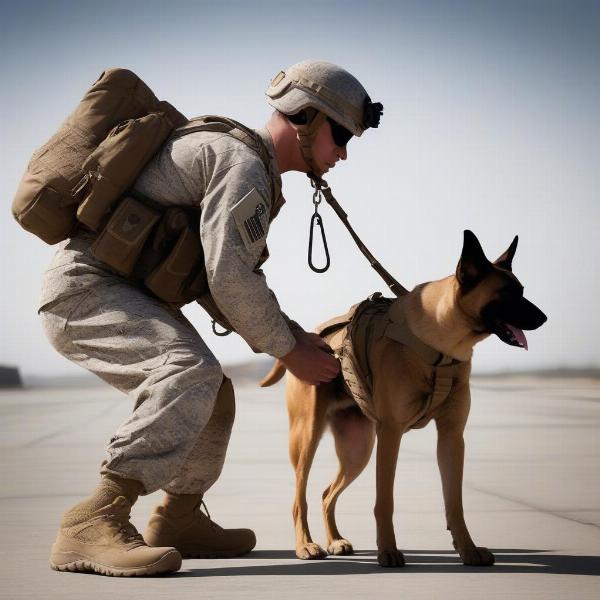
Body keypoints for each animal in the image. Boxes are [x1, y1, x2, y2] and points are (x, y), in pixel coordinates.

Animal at [260, 230, 548, 568]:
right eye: (506, 294)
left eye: (522, 290)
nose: (544, 318)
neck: (440, 343)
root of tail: (309, 335)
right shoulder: (391, 434)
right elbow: (384, 501)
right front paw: (388, 550)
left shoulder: (452, 438)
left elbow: (455, 502)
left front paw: (468, 549)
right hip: (307, 437)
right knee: (299, 497)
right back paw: (306, 544)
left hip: (358, 450)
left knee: (326, 493)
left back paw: (335, 540)